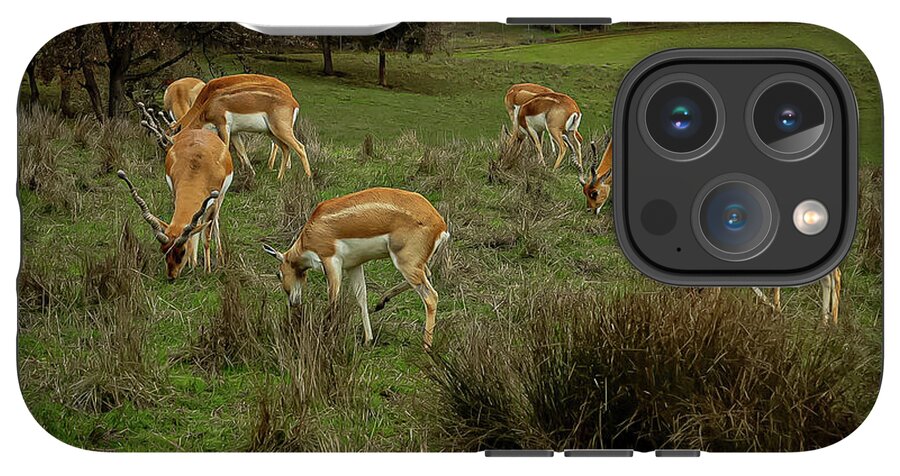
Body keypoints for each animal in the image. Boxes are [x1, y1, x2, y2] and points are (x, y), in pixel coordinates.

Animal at [118, 126, 234, 280]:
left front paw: (207, 271)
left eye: (182, 251)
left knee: (214, 221)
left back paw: (219, 256)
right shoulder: (175, 193)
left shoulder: (213, 202)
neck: (197, 168)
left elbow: (206, 237)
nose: (171, 276)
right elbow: (193, 230)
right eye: (164, 250)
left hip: (220, 197)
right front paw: (192, 264)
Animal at [261, 187, 450, 349]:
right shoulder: (354, 266)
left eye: (278, 274)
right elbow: (361, 298)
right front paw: (368, 340)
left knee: (431, 296)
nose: (293, 302)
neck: (311, 232)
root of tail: (440, 224)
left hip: (405, 263)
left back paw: (426, 345)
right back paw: (381, 302)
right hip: (414, 264)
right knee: (427, 275)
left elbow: (333, 299)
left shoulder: (331, 261)